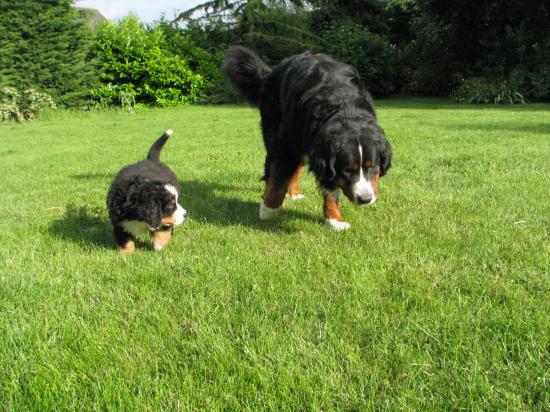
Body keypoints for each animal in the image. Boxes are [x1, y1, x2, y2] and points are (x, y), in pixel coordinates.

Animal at [223, 47, 392, 232]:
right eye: (348, 170)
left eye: (372, 167)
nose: (365, 199)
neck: (344, 107)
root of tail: (271, 72)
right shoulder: (288, 147)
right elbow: (277, 183)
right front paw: (268, 210)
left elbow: (330, 189)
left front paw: (335, 219)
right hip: (274, 133)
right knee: (271, 168)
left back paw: (294, 193)